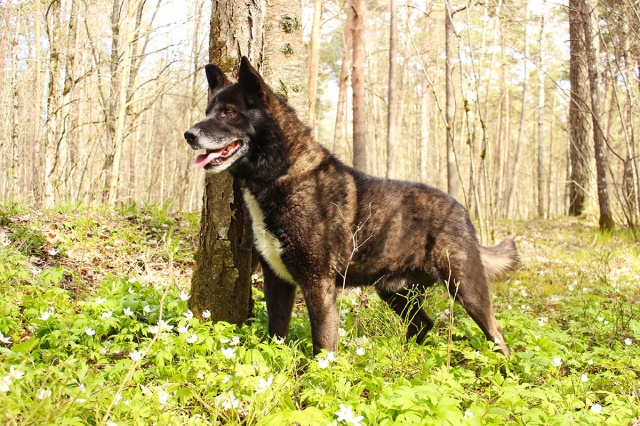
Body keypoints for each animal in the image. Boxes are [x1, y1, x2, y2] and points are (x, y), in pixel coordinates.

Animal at [184, 57, 519, 356]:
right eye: (208, 111)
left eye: (229, 112)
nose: (189, 134)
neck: (281, 174)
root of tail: (461, 210)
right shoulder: (277, 279)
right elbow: (276, 333)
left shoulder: (318, 283)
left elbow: (323, 346)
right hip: (394, 292)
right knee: (423, 324)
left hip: (465, 287)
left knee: (496, 333)